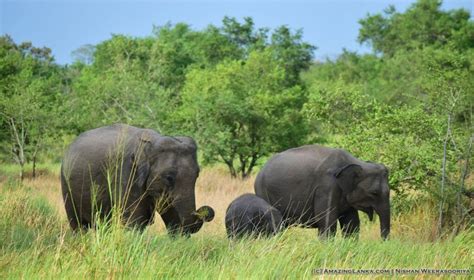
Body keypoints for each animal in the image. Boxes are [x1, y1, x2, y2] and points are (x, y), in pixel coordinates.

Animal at [60, 123, 214, 235]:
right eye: (168, 177)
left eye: (197, 175)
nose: (202, 212)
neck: (152, 142)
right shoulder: (126, 173)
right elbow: (135, 218)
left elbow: (170, 213)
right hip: (65, 182)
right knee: (78, 223)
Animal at [254, 145, 390, 240]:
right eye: (374, 192)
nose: (382, 242)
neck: (357, 162)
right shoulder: (326, 187)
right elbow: (327, 222)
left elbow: (351, 223)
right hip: (263, 192)